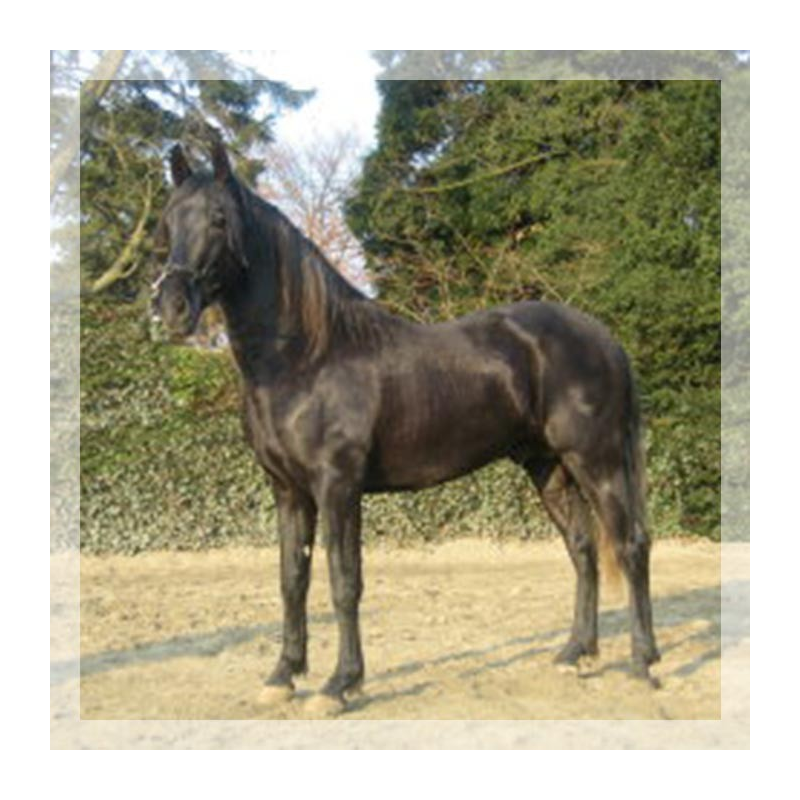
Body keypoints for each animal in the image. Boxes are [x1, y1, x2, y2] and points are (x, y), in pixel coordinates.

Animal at [151, 139, 660, 711]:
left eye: (219, 218)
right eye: (168, 220)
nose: (171, 307)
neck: (306, 357)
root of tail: (604, 338)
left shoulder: (338, 487)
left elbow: (344, 582)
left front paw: (339, 684)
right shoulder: (288, 491)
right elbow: (292, 580)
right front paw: (283, 675)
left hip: (597, 461)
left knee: (632, 545)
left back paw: (642, 663)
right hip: (548, 466)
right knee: (583, 549)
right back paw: (575, 654)